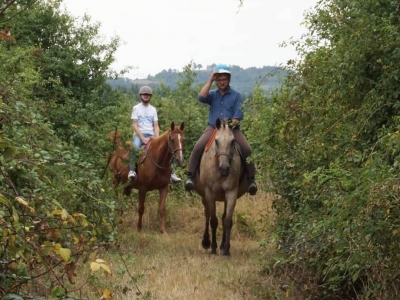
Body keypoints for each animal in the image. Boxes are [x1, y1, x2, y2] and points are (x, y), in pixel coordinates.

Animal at [193, 118, 247, 256]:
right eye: (216, 141)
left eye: (232, 141)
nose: (224, 168)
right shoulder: (209, 193)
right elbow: (213, 220)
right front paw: (213, 249)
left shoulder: (231, 193)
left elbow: (227, 221)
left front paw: (226, 250)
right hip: (204, 196)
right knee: (207, 215)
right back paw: (206, 242)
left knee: (223, 218)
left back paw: (222, 246)